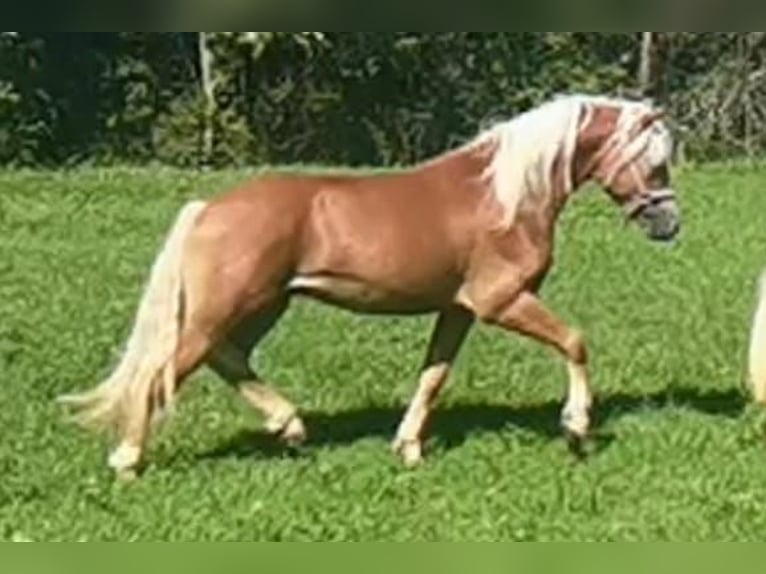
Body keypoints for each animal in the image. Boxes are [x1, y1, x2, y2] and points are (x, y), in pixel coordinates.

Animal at [63, 94, 680, 480]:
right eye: (656, 162)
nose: (670, 224)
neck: (505, 196)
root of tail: (208, 208)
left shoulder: (458, 309)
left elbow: (433, 376)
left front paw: (408, 448)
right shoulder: (500, 301)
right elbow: (575, 340)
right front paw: (577, 428)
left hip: (262, 307)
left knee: (226, 358)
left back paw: (290, 426)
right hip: (227, 308)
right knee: (160, 374)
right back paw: (128, 462)